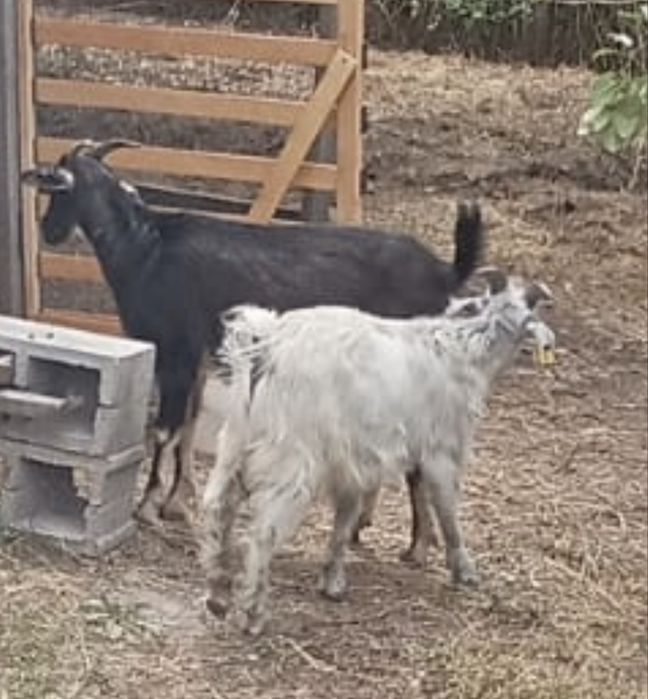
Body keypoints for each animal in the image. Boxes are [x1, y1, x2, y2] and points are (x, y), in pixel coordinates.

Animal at [22, 139, 484, 533]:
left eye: (57, 191)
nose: (47, 231)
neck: (147, 249)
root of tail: (445, 271)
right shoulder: (200, 358)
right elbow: (188, 426)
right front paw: (178, 501)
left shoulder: (176, 350)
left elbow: (166, 430)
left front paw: (148, 505)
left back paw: (415, 542)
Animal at [200, 269, 555, 635]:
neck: (465, 346)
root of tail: (266, 345)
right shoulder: (439, 450)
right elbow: (447, 510)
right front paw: (464, 570)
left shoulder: (355, 462)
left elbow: (349, 518)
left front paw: (335, 581)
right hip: (292, 457)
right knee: (263, 532)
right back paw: (253, 613)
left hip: (236, 441)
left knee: (217, 507)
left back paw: (217, 595)